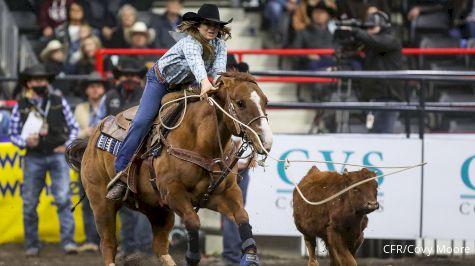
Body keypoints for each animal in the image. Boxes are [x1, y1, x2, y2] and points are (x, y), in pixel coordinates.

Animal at [68, 72, 276, 266]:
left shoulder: (224, 194)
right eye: (240, 103)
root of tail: (91, 139)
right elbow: (193, 221)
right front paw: (192, 257)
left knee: (159, 247)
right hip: (102, 204)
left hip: (157, 210)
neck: (201, 143)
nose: (265, 140)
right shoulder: (173, 192)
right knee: (108, 244)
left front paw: (250, 257)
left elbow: (242, 217)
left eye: (266, 101)